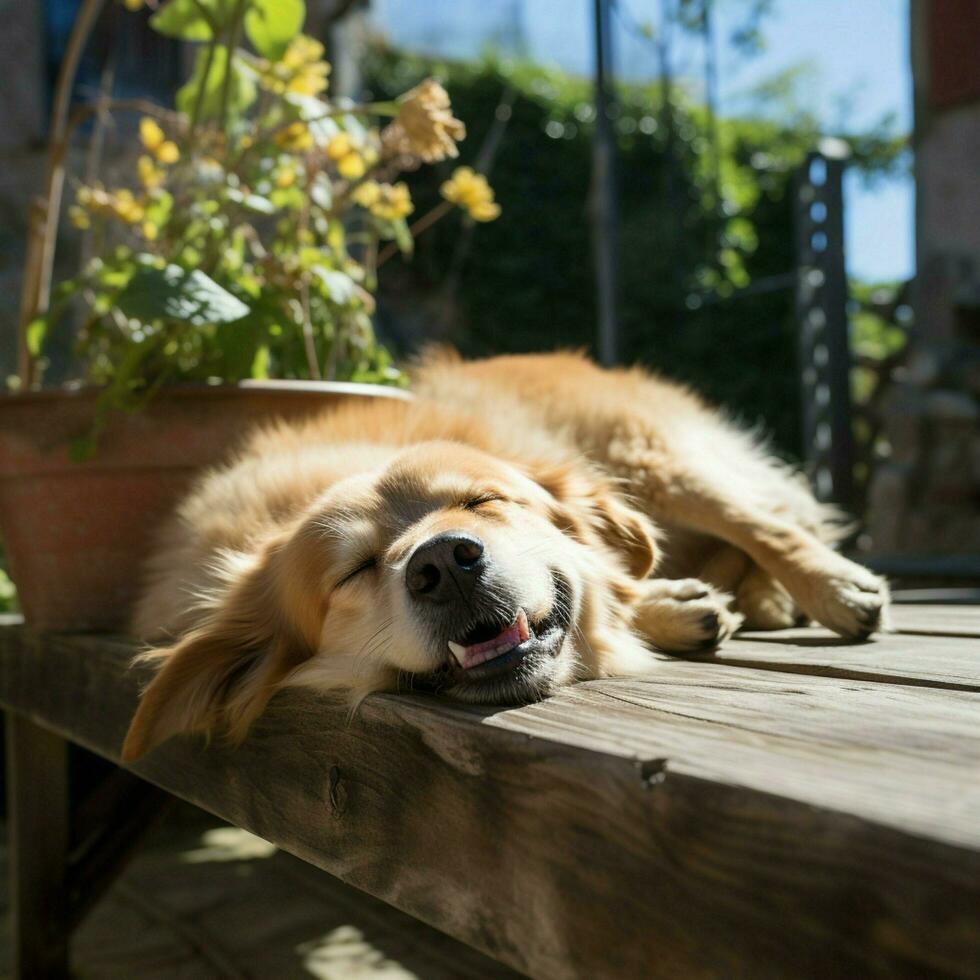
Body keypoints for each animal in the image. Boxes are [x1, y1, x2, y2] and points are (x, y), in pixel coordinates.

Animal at [122, 354, 888, 764]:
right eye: (356, 569)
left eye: (481, 501)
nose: (444, 563)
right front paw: (673, 608)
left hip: (648, 456)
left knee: (766, 523)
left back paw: (831, 588)